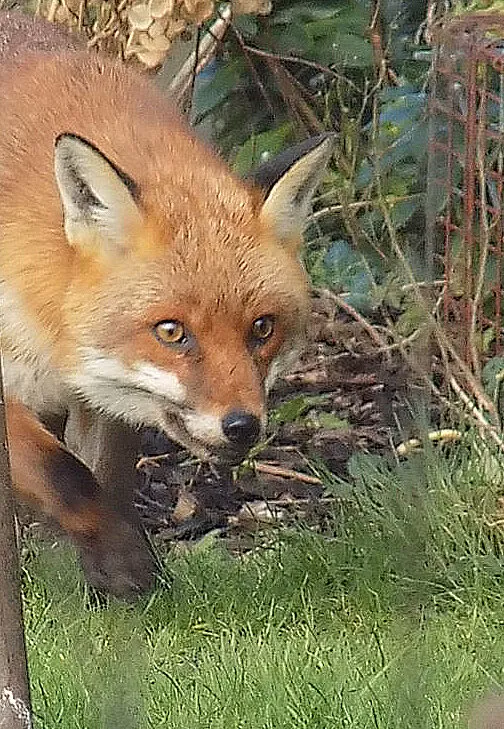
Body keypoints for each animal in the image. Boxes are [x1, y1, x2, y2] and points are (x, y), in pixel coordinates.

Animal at [0, 10, 334, 598]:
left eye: (262, 328)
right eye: (172, 331)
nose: (242, 427)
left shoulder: (101, 398)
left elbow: (105, 480)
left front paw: (113, 588)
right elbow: (67, 480)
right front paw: (128, 567)